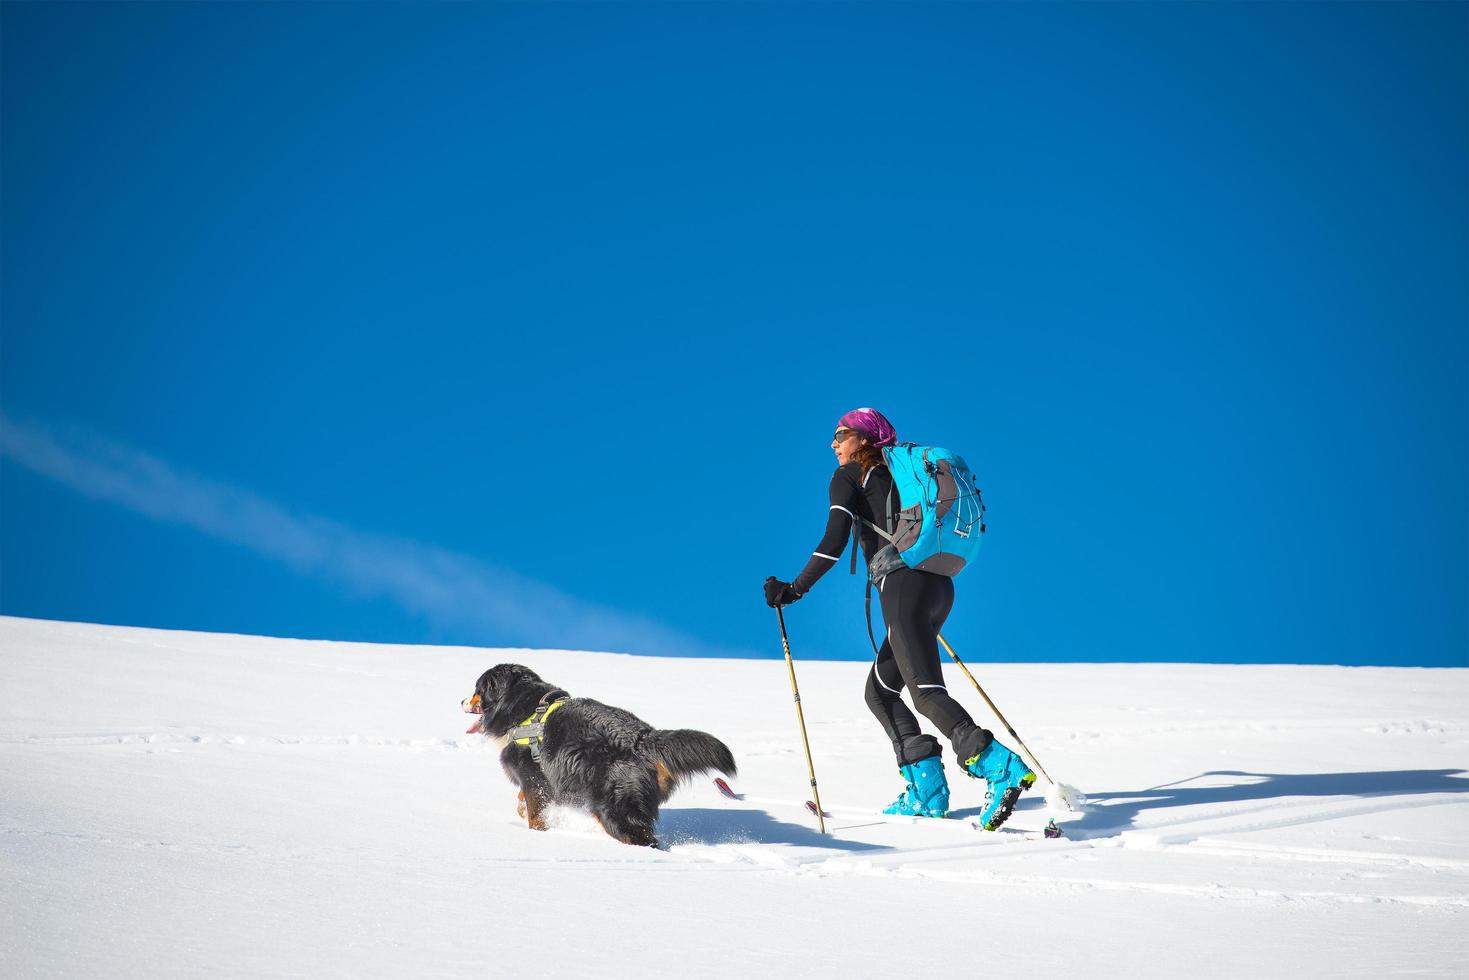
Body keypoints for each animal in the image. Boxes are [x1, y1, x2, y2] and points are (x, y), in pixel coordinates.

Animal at [464, 664, 734, 846]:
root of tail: (643, 738)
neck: (520, 706)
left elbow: (534, 812)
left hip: (615, 808)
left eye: (477, 689)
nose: (461, 701)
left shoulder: (532, 776)